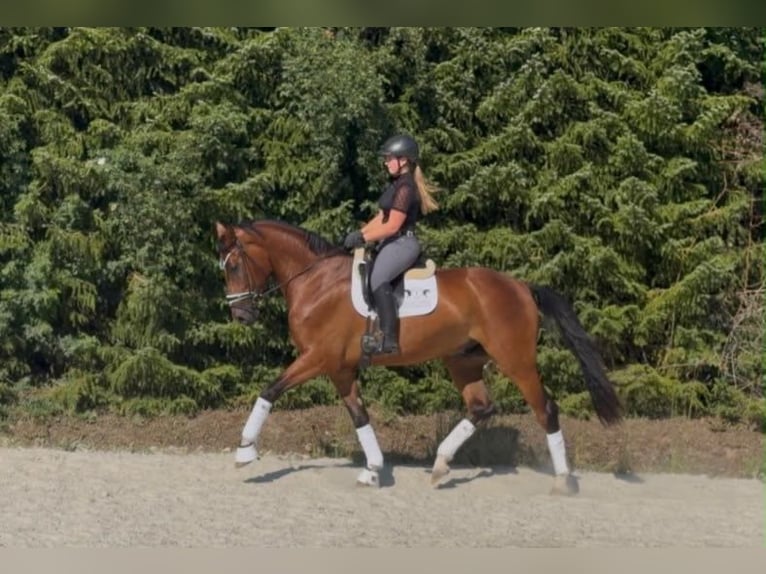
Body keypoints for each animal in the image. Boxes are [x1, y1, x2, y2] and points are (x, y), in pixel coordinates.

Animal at [214, 219, 622, 493]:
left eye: (233, 265)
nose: (241, 315)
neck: (316, 281)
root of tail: (521, 286)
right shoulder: (341, 369)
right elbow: (359, 416)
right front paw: (373, 469)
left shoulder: (318, 358)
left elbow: (269, 390)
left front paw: (245, 451)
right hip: (463, 360)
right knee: (481, 407)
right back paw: (440, 465)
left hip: (516, 361)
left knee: (545, 409)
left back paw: (563, 480)